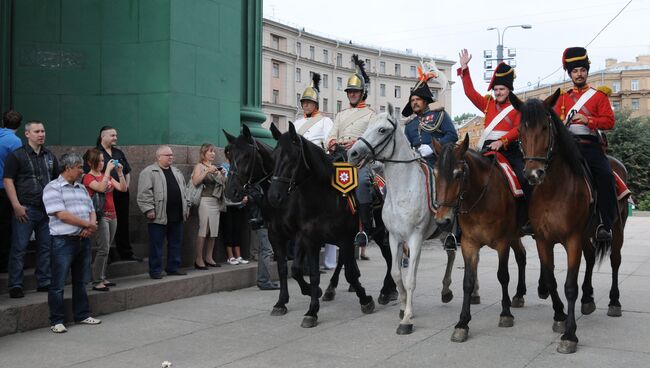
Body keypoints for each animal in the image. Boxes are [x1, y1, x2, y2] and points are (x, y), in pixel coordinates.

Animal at [260, 123, 374, 328]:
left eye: (293, 158)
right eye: (273, 157)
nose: (274, 196)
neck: (324, 198)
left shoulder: (344, 238)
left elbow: (349, 273)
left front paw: (365, 299)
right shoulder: (307, 239)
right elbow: (308, 273)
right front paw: (311, 310)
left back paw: (389, 290)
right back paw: (331, 289)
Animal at [344, 104, 456, 336]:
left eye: (382, 130)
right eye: (368, 126)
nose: (353, 152)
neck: (403, 189)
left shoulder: (415, 238)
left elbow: (411, 279)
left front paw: (406, 320)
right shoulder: (395, 237)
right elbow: (396, 273)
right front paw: (404, 307)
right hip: (441, 232)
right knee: (450, 255)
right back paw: (446, 290)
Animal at [430, 134, 528, 342]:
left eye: (458, 174)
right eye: (435, 173)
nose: (442, 220)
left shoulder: (502, 242)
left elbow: (503, 276)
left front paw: (505, 314)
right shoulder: (469, 244)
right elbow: (467, 281)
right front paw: (462, 323)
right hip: (514, 236)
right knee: (522, 256)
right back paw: (519, 294)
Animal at [508, 89, 624, 354]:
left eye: (545, 127)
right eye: (520, 130)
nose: (533, 174)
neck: (554, 190)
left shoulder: (572, 240)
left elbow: (570, 285)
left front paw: (570, 334)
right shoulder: (543, 240)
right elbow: (551, 279)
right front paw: (560, 316)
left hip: (616, 229)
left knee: (615, 261)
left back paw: (614, 301)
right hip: (587, 235)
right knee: (591, 258)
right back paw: (588, 298)